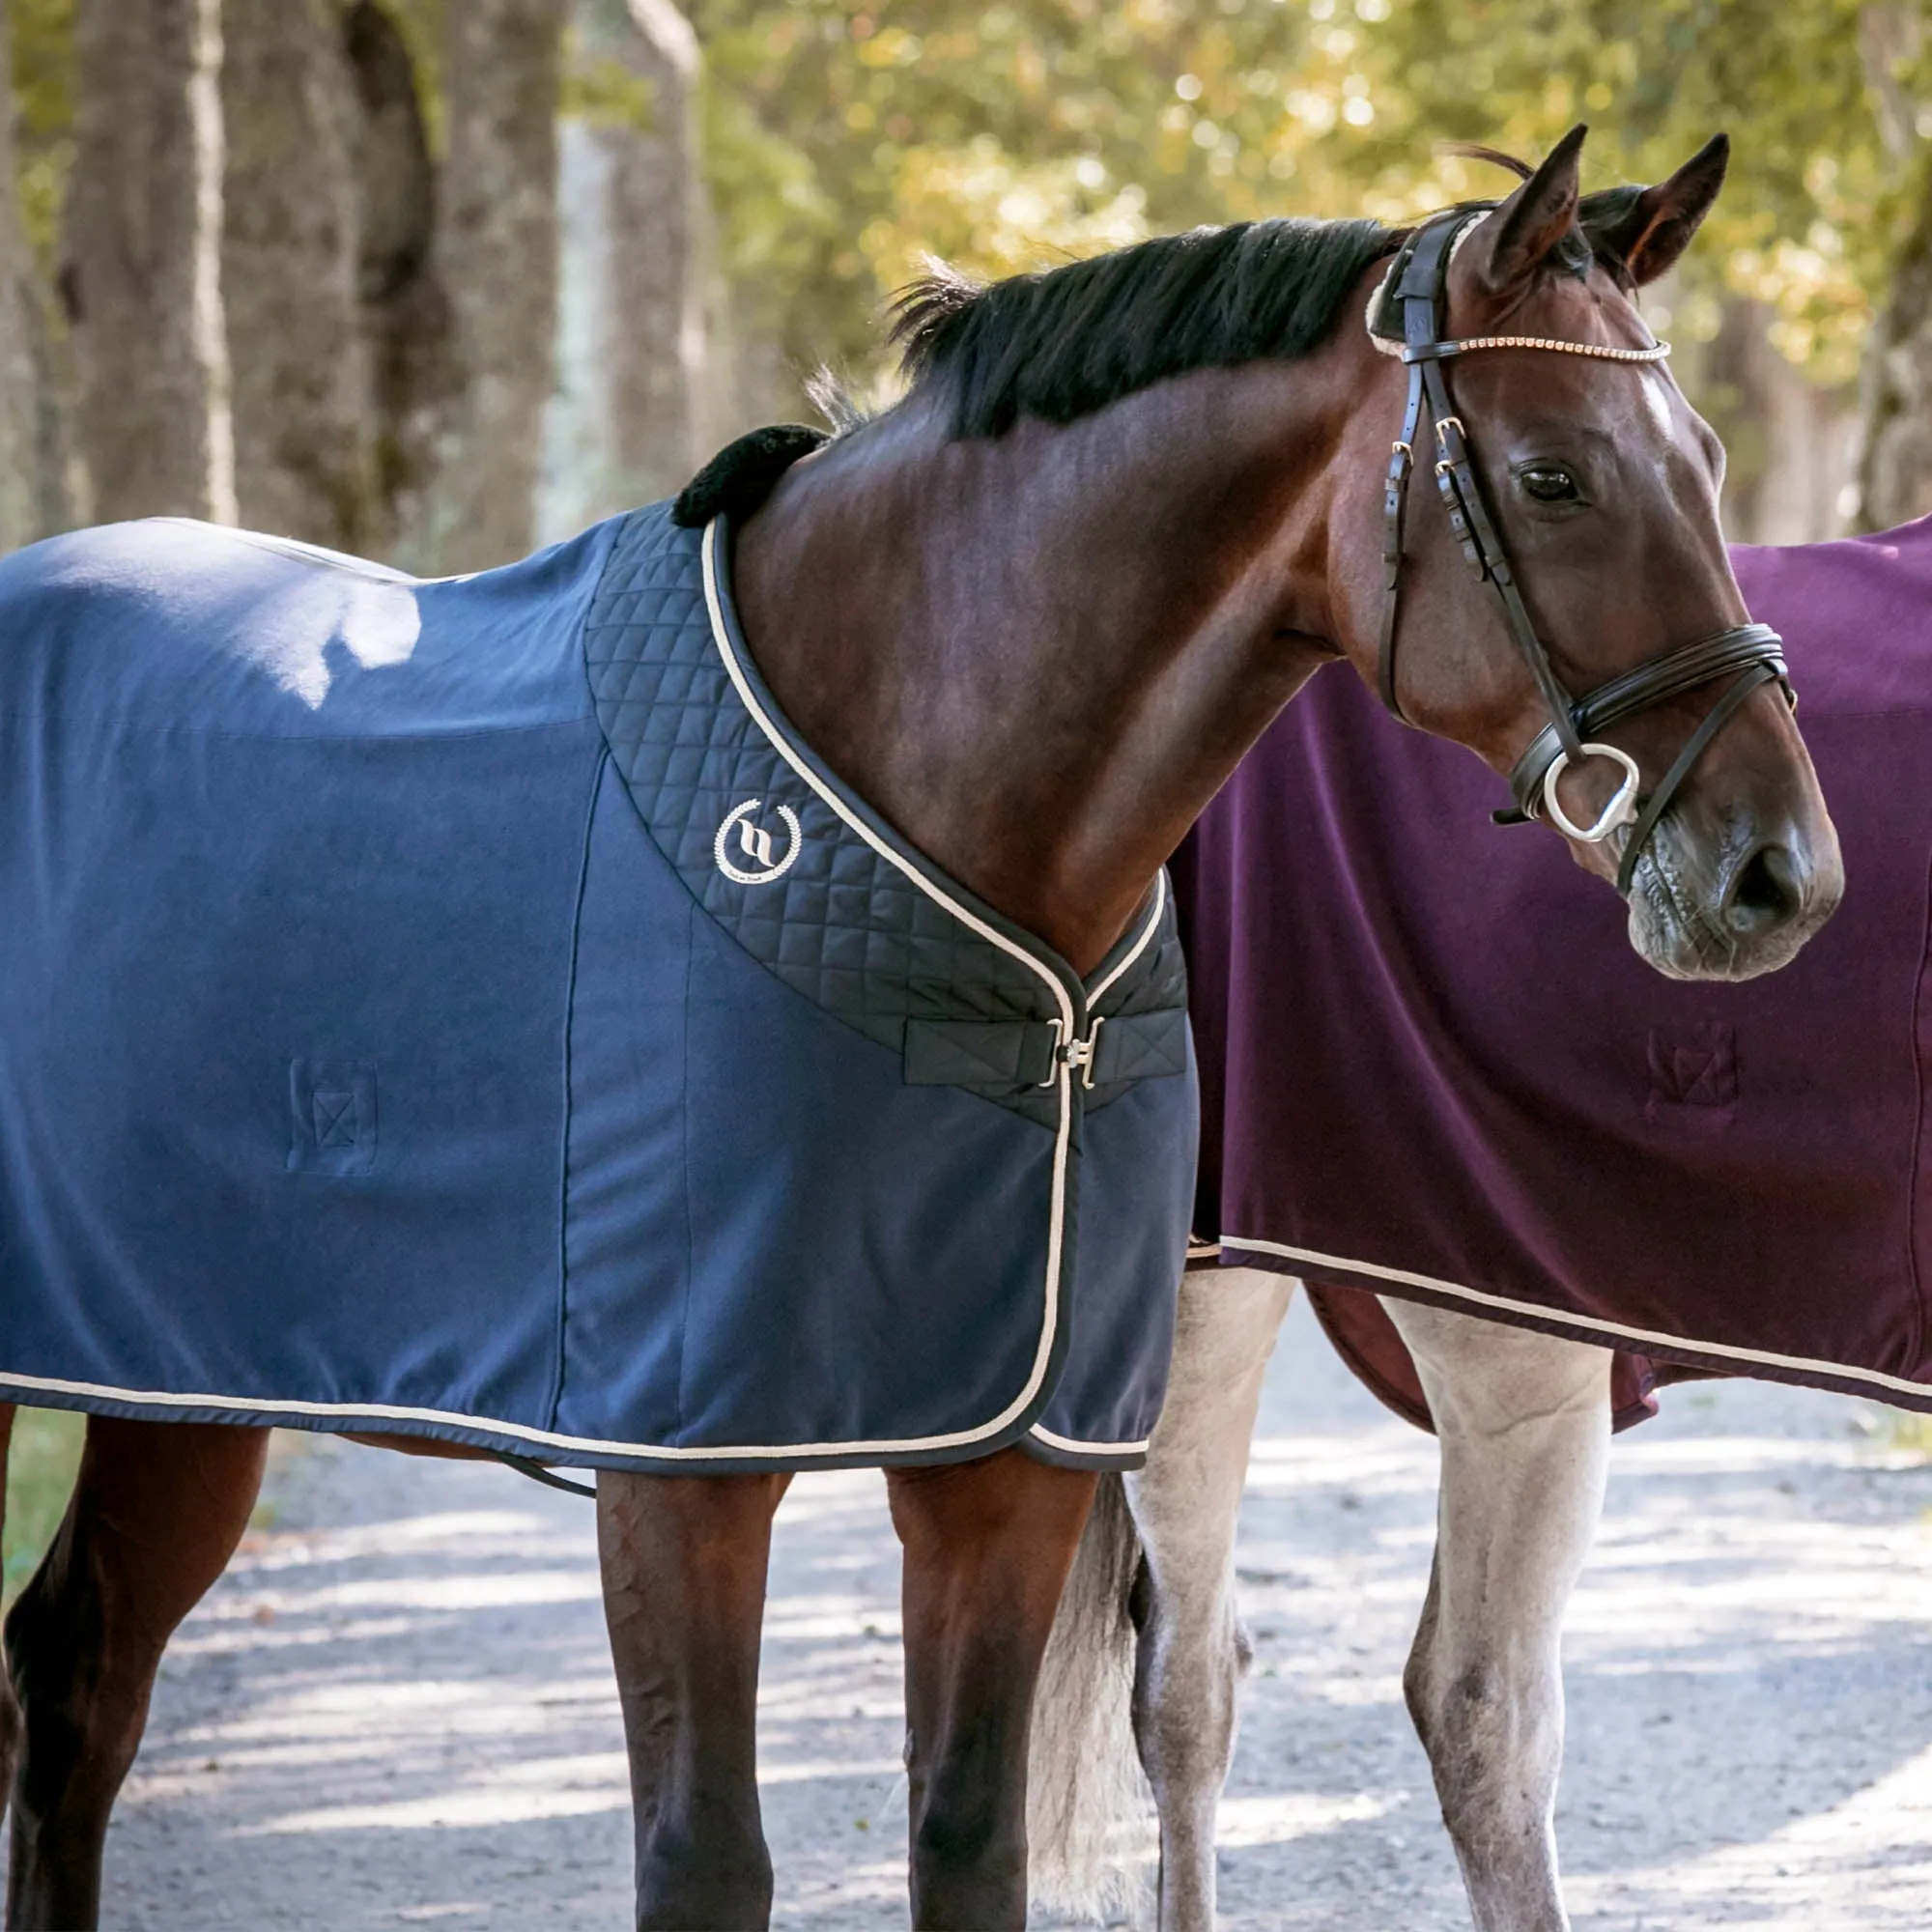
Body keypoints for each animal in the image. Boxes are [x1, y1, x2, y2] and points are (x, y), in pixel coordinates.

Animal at [0, 128, 1838, 1930]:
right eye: (1556, 476)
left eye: (1708, 461)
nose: (1780, 874)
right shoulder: (681, 1474)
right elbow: (707, 1859)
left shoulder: (1006, 1468)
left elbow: (968, 1837)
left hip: (177, 1383)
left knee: (79, 1672)